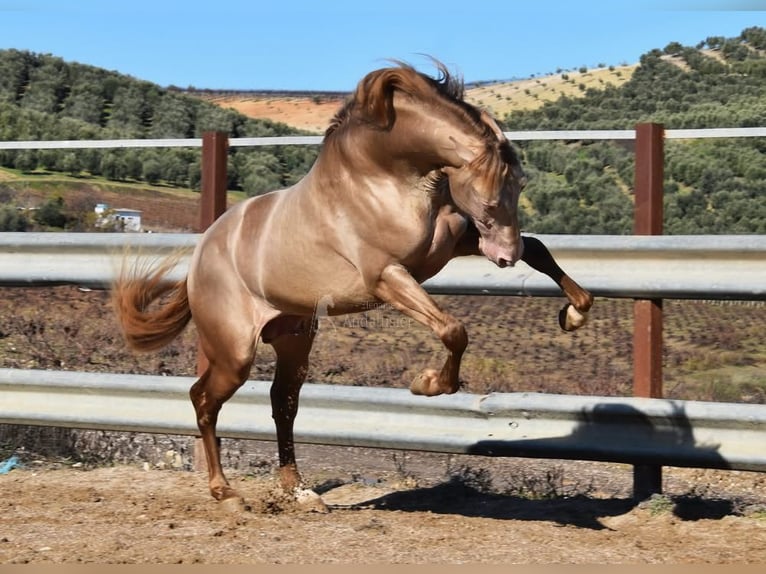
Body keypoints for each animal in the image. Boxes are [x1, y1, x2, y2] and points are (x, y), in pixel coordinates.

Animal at [113, 61, 593, 511]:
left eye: (521, 185)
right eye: (491, 199)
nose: (504, 257)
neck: (386, 179)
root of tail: (200, 256)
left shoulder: (453, 246)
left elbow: (539, 250)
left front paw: (575, 312)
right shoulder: (387, 275)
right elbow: (453, 330)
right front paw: (428, 384)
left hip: (293, 340)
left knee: (282, 403)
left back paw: (300, 491)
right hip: (233, 353)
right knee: (204, 400)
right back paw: (225, 492)